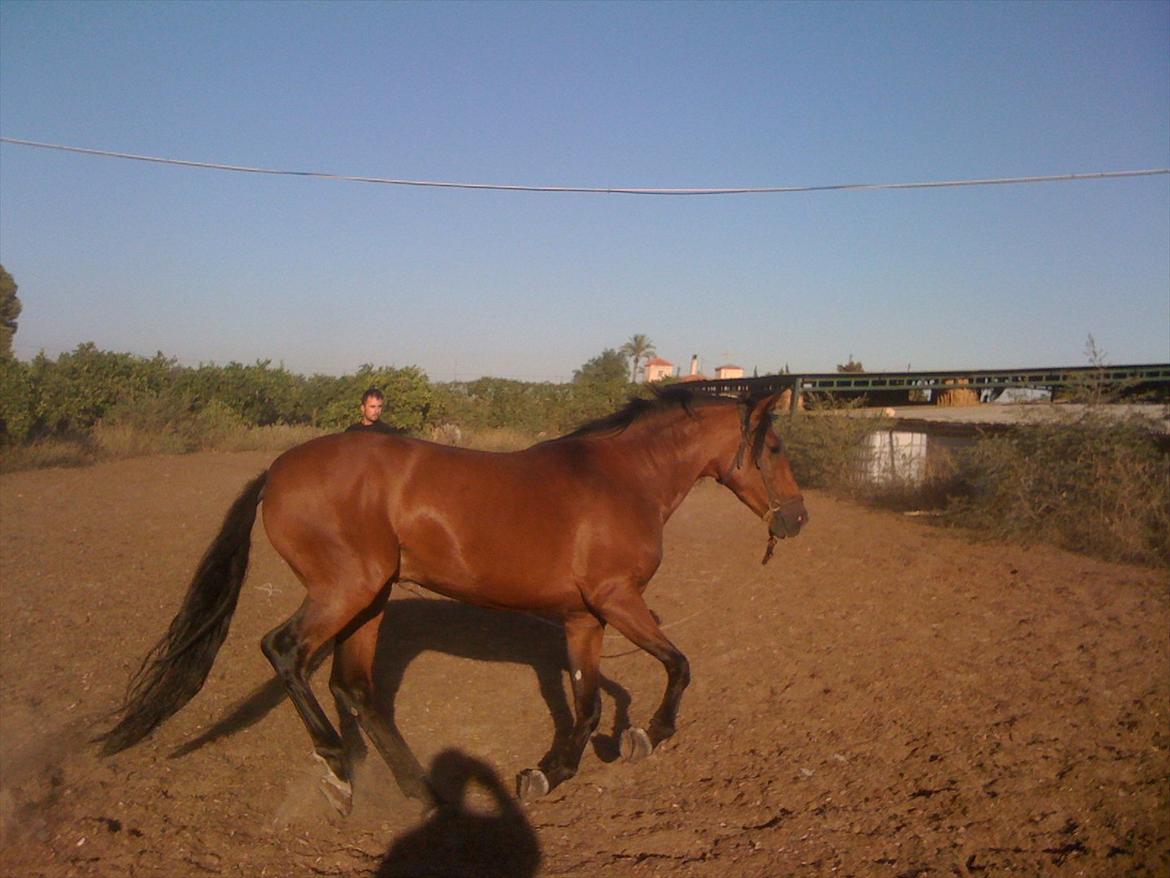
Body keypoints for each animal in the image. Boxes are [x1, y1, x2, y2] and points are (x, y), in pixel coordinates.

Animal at [98, 388, 804, 814]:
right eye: (773, 447)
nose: (797, 518)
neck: (622, 480)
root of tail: (278, 470)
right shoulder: (619, 601)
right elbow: (676, 665)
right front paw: (648, 736)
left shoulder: (586, 618)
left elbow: (587, 703)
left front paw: (551, 772)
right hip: (347, 590)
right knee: (285, 651)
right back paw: (340, 768)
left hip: (372, 600)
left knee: (354, 687)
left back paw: (423, 791)